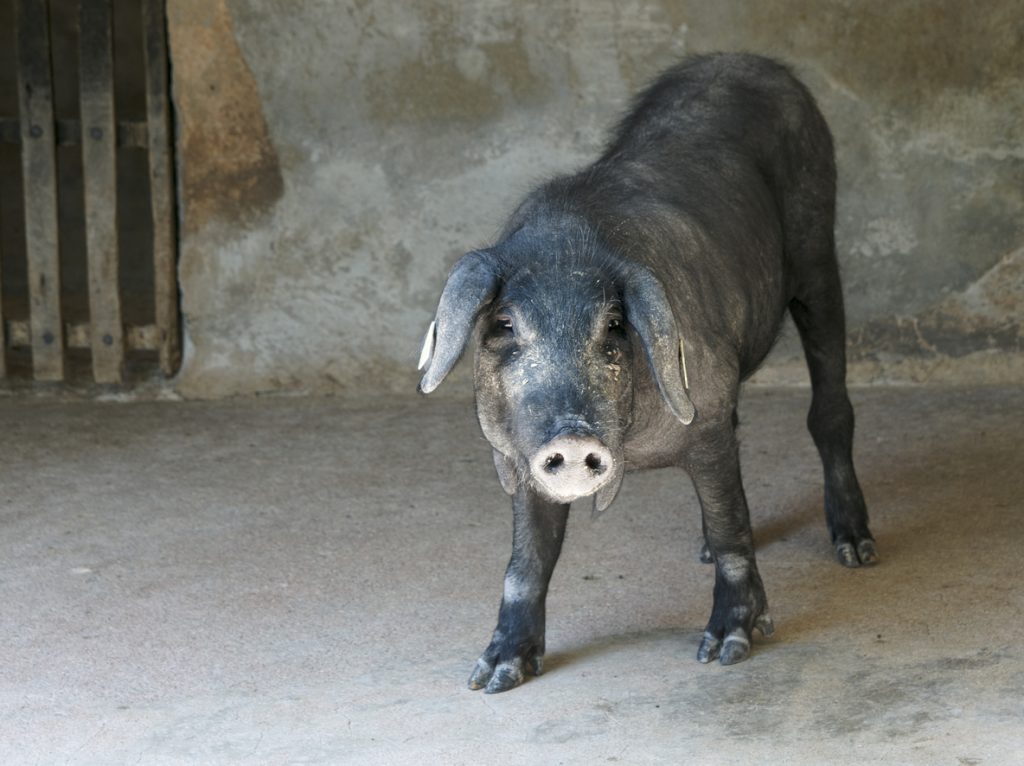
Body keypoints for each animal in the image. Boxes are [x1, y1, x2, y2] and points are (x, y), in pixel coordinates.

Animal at [417, 53, 875, 694]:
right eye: (504, 324)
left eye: (613, 325)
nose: (571, 438)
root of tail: (749, 59)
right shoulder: (516, 451)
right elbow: (527, 559)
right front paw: (492, 677)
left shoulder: (704, 418)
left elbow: (732, 524)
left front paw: (726, 650)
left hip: (817, 248)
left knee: (829, 403)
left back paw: (857, 551)